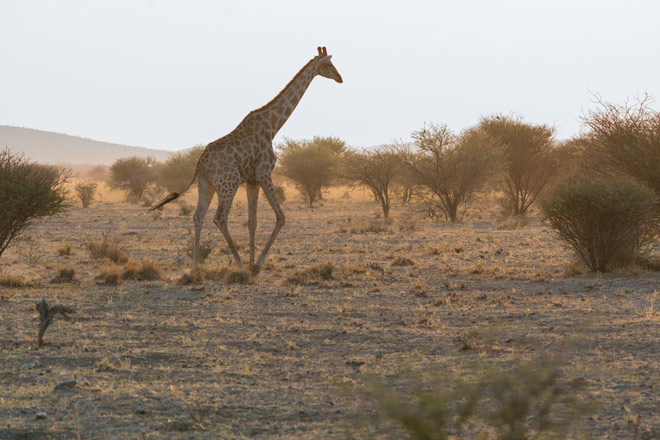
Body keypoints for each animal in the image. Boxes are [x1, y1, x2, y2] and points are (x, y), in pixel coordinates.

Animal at [151, 46, 342, 274]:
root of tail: (200, 165)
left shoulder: (252, 180)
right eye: (329, 64)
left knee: (198, 216)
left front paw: (252, 264)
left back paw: (195, 267)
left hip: (206, 185)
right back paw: (238, 264)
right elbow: (281, 217)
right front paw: (255, 264)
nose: (340, 78)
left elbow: (253, 221)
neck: (272, 127)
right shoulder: (264, 173)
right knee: (219, 218)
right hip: (229, 183)